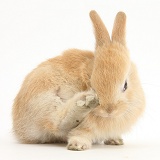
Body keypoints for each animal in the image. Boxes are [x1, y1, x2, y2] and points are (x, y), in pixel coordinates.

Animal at [12, 10, 145, 151]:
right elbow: (79, 133)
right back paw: (84, 102)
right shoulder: (85, 127)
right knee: (55, 122)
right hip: (44, 100)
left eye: (125, 85)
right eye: (92, 83)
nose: (109, 110)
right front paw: (77, 145)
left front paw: (116, 140)